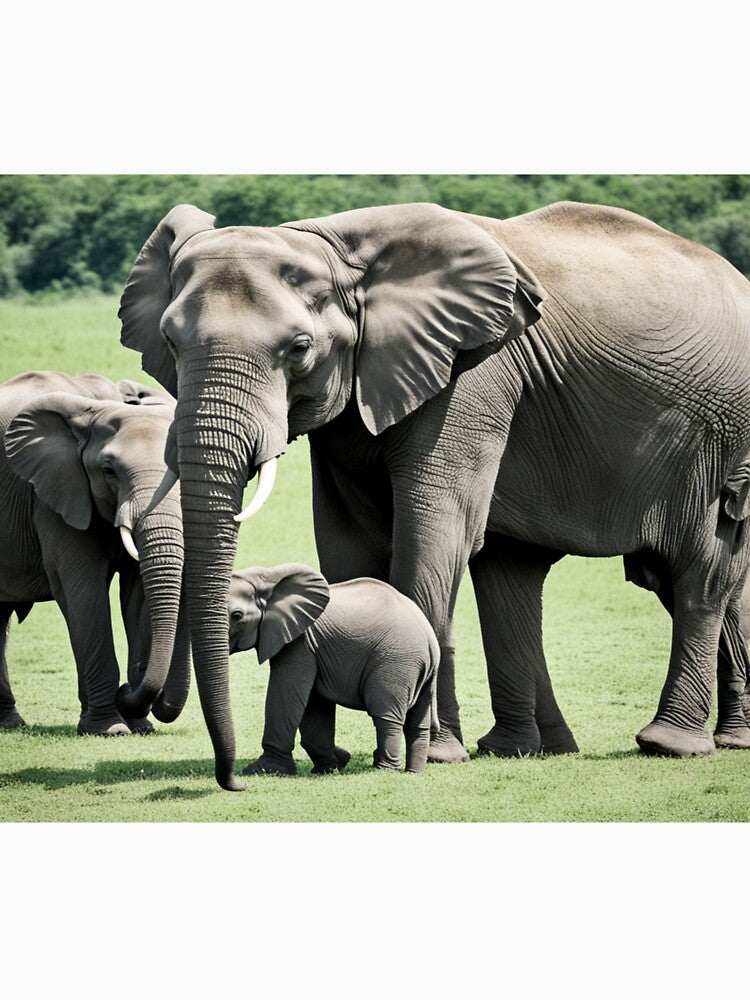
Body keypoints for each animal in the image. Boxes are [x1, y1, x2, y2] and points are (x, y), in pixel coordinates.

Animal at [0, 371, 190, 734]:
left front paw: (139, 727)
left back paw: (10, 723)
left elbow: (137, 594)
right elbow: (83, 590)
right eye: (109, 471)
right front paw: (109, 729)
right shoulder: (53, 495)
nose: (128, 687)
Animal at [228, 564, 440, 775]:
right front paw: (332, 766)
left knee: (385, 714)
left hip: (396, 662)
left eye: (237, 615)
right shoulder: (313, 646)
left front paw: (261, 770)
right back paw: (413, 771)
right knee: (418, 722)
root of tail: (430, 642)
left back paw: (384, 769)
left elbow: (288, 694)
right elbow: (314, 703)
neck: (269, 576)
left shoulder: (300, 643)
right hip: (418, 670)